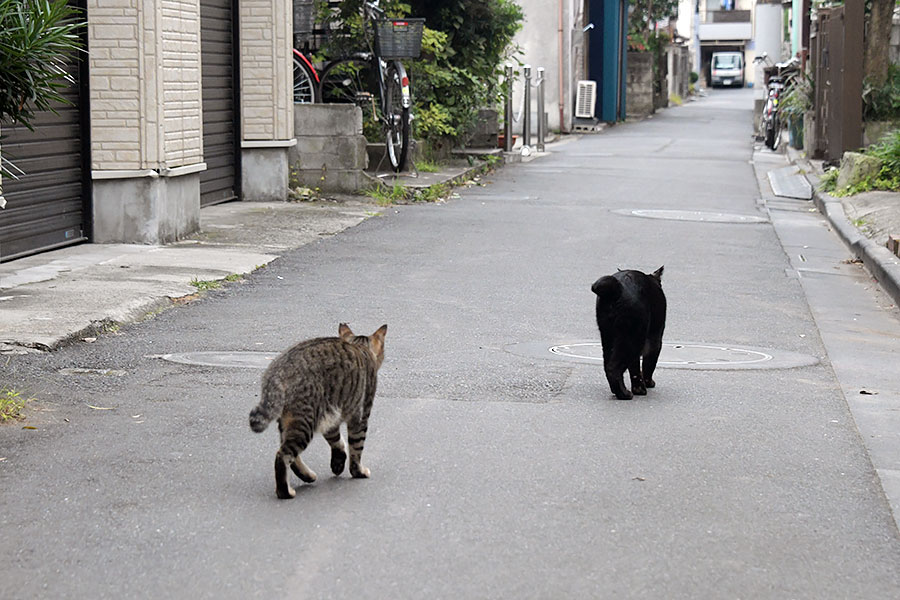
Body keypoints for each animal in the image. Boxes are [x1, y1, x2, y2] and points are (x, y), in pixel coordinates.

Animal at [246, 326, 386, 500]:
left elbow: (337, 442)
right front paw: (358, 471)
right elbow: (356, 449)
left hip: (290, 422)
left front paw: (338, 463)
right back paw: (285, 492)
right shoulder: (360, 416)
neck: (360, 347)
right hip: (305, 422)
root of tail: (277, 371)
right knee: (282, 455)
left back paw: (307, 476)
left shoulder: (330, 416)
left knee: (291, 456)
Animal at [596, 266, 664, 398]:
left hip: (608, 337)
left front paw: (639, 388)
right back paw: (625, 394)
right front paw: (646, 384)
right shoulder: (656, 339)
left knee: (608, 365)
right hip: (632, 338)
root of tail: (617, 289)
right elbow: (649, 363)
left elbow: (635, 367)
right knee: (613, 368)